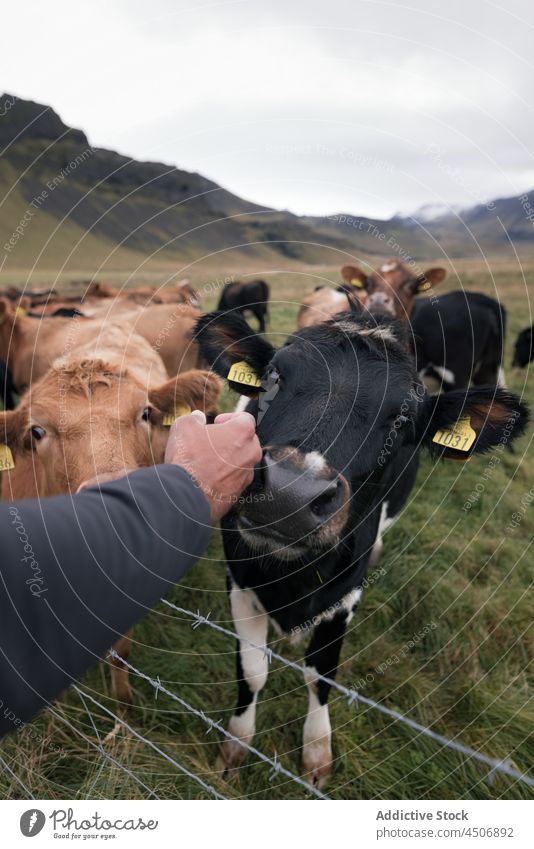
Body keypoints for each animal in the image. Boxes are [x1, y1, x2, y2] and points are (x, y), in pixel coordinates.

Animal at [196, 306, 528, 788]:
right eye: (274, 376)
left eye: (403, 421)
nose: (290, 494)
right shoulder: (238, 579)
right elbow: (253, 670)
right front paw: (234, 746)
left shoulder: (344, 596)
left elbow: (321, 676)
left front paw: (317, 755)